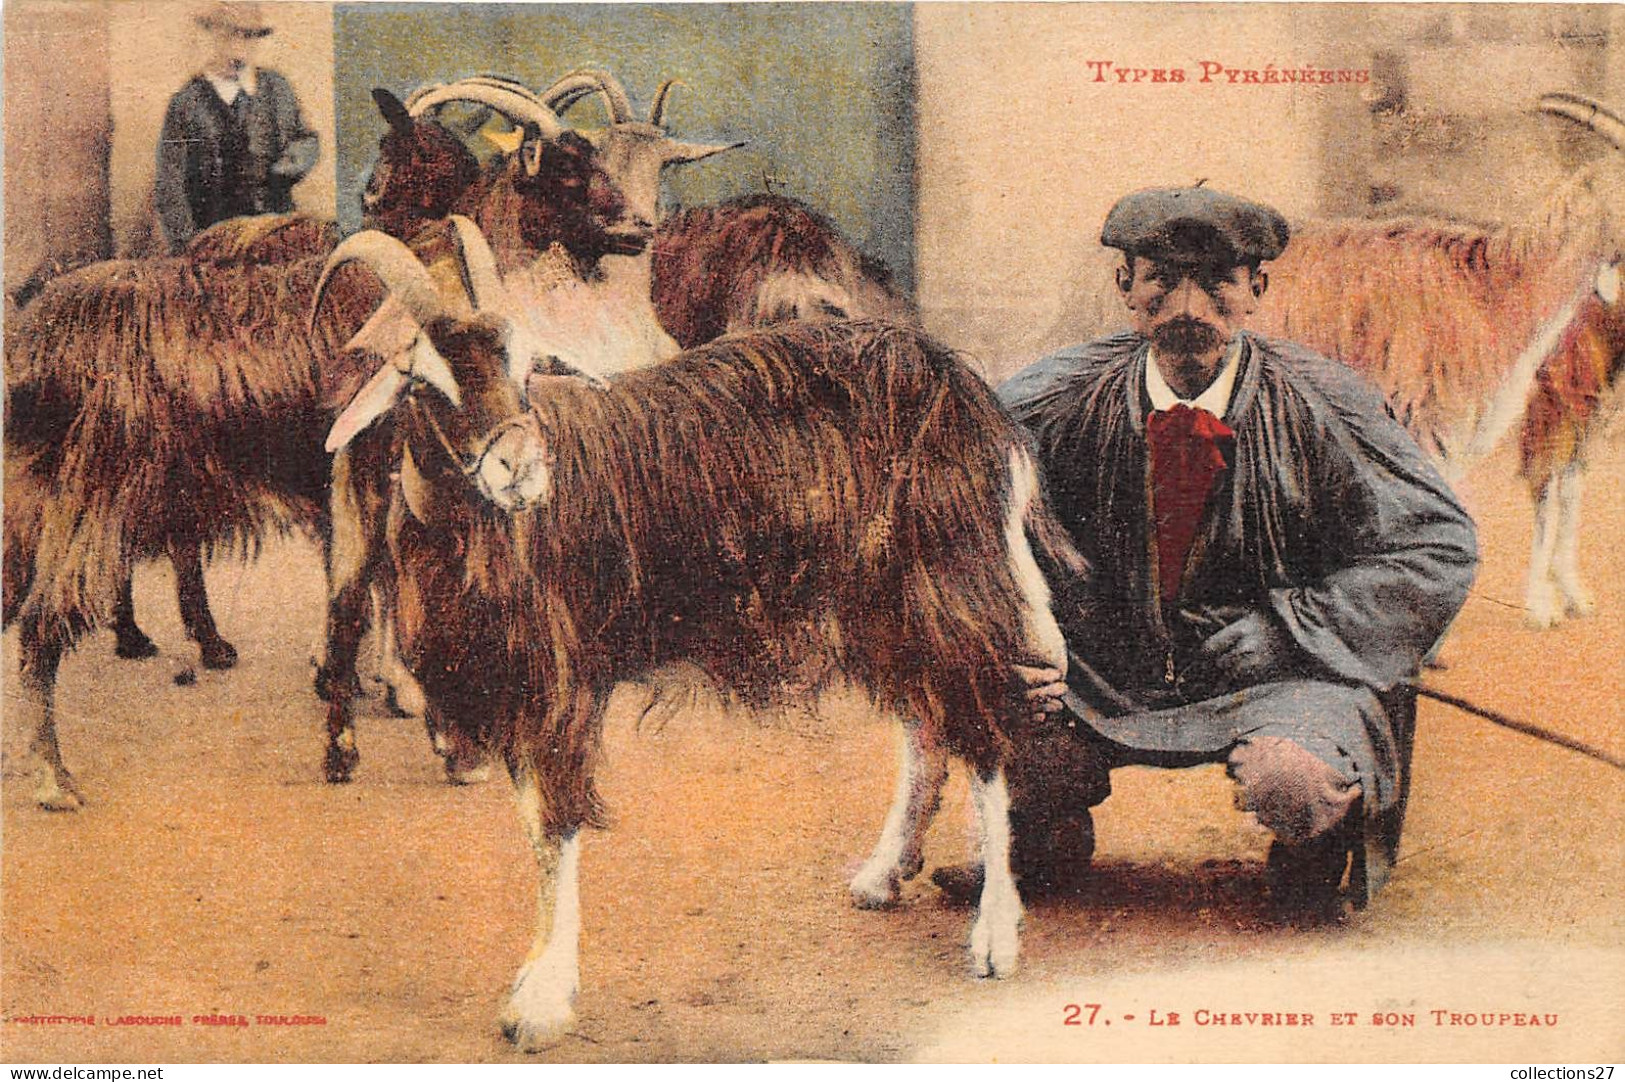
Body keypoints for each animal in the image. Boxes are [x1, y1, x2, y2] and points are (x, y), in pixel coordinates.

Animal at [316, 225, 1079, 1046]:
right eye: (422, 382)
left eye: (521, 369)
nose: (519, 469)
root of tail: (967, 387)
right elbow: (533, 823)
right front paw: (536, 984)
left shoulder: (559, 680)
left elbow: (554, 824)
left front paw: (542, 1000)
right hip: (882, 603)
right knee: (927, 730)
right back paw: (883, 876)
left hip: (948, 578)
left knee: (987, 728)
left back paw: (994, 936)